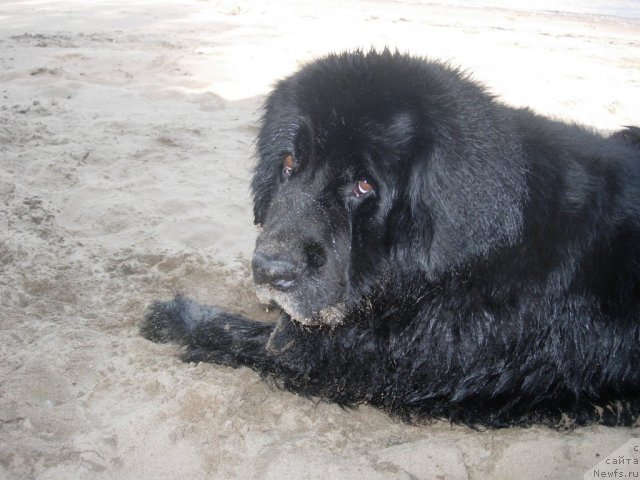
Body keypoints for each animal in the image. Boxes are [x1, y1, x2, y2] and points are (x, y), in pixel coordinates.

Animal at [144, 49, 640, 428]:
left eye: (364, 185)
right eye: (287, 163)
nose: (267, 270)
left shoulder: (366, 356)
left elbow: (251, 334)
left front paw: (172, 316)